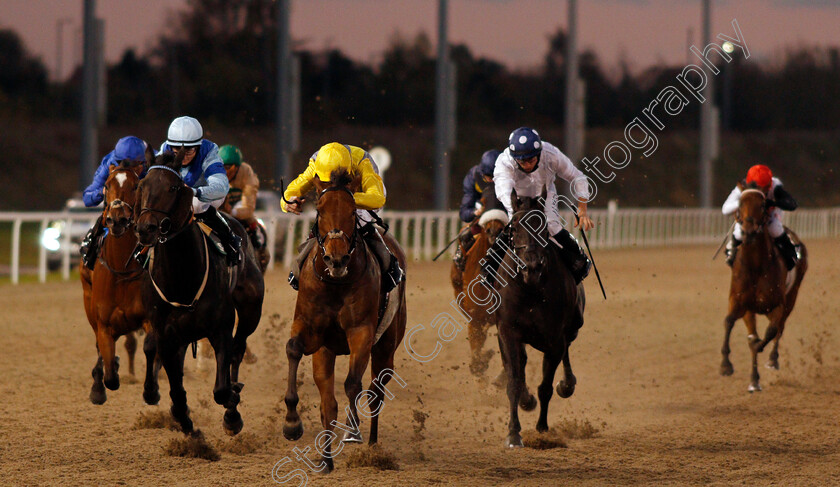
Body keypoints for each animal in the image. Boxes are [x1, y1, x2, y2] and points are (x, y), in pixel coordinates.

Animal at [82, 158, 161, 406]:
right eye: (106, 185)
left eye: (136, 186)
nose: (117, 219)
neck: (122, 270)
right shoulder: (104, 324)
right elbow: (109, 373)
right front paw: (99, 387)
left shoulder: (151, 319)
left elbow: (152, 348)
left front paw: (151, 390)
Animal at [135, 151, 262, 436]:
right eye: (142, 186)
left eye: (173, 187)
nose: (146, 228)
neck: (182, 278)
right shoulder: (166, 335)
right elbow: (175, 388)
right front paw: (183, 420)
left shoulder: (221, 328)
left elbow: (222, 388)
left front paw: (232, 412)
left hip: (251, 310)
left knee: (238, 350)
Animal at [284, 171, 408, 472]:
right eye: (319, 210)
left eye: (353, 211)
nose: (336, 258)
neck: (336, 282)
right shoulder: (312, 331)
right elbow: (294, 349)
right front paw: (293, 424)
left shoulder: (361, 332)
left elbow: (353, 384)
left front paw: (352, 431)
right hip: (328, 351)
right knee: (331, 400)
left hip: (386, 345)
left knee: (375, 391)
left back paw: (371, 444)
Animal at [492, 191, 584, 450]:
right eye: (514, 229)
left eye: (543, 228)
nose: (531, 266)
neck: (531, 290)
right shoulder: (508, 332)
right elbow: (513, 381)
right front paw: (514, 433)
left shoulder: (554, 339)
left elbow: (545, 386)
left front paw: (542, 428)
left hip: (571, 328)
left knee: (566, 353)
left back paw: (567, 384)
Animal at [720, 188, 808, 392]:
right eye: (740, 203)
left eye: (762, 205)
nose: (748, 231)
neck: (756, 265)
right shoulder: (740, 303)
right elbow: (731, 323)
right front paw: (727, 366)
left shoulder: (777, 304)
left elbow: (771, 332)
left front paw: (763, 354)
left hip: (791, 297)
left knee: (780, 328)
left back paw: (773, 360)